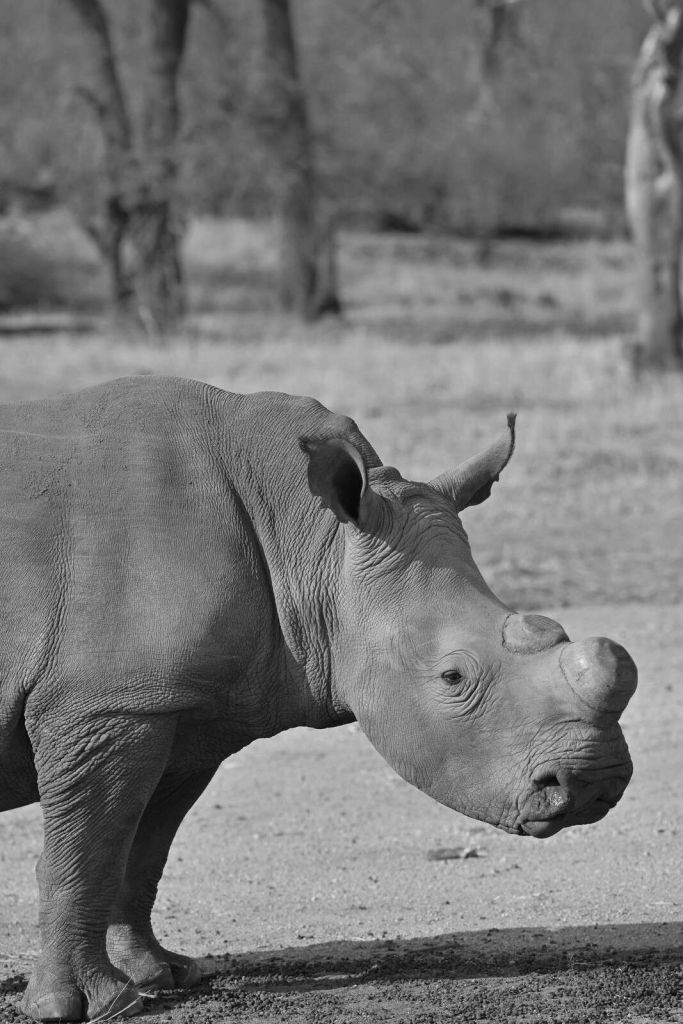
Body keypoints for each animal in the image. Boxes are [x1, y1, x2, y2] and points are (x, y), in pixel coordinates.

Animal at [0, 376, 636, 1021]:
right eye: (453, 678)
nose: (595, 779)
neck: (310, 539)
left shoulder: (178, 705)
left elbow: (141, 847)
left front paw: (163, 973)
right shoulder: (107, 705)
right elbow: (85, 852)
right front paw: (86, 1006)